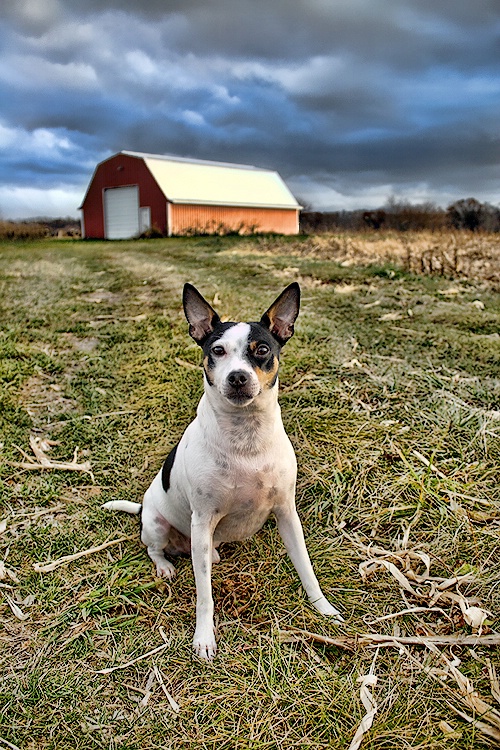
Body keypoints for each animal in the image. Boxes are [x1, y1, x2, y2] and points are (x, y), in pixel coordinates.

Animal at [103, 284, 342, 660]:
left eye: (262, 350)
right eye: (217, 350)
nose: (238, 377)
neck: (246, 437)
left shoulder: (287, 514)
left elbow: (306, 569)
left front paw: (324, 610)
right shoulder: (202, 519)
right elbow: (204, 595)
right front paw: (204, 637)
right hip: (157, 524)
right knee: (154, 548)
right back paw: (165, 566)